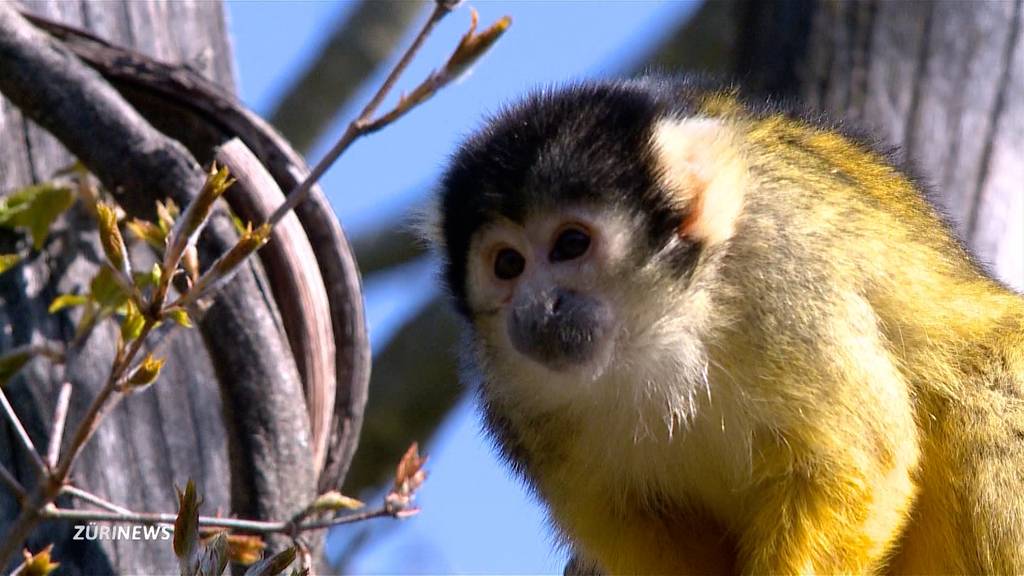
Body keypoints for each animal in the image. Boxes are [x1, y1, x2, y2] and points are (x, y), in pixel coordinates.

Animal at [425, 77, 1024, 573]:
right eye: (508, 265)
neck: (658, 329)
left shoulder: (783, 277)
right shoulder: (514, 401)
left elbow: (854, 464)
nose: (536, 307)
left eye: (571, 243)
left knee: (983, 405)